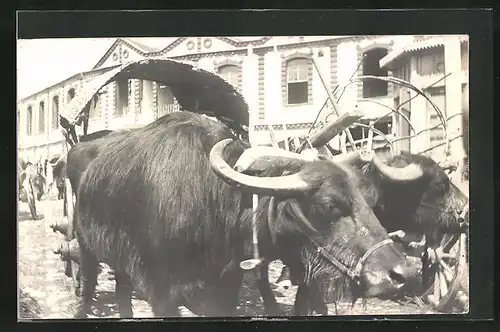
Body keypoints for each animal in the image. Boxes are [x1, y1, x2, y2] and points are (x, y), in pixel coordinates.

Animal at [72, 112, 420, 320]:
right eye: (330, 205)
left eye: (372, 202)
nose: (403, 273)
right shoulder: (161, 293)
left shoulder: (227, 287)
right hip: (85, 246)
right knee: (88, 286)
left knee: (121, 290)